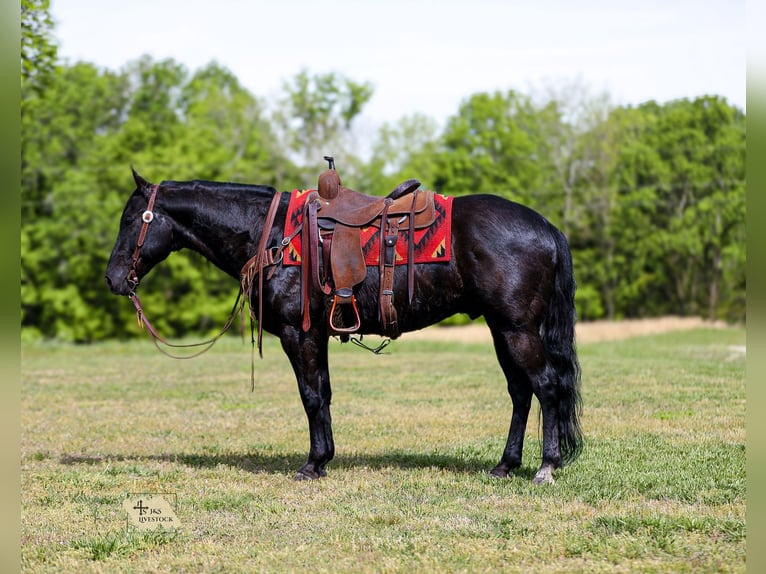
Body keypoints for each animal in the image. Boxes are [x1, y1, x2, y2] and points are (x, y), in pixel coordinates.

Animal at [105, 169, 583, 484]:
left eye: (130, 220)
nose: (112, 279)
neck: (271, 234)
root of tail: (546, 226)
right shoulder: (317, 335)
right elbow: (325, 393)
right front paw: (325, 458)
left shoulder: (299, 334)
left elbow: (311, 396)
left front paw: (313, 463)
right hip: (501, 329)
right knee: (521, 392)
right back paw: (505, 464)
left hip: (518, 329)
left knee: (547, 386)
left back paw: (546, 466)